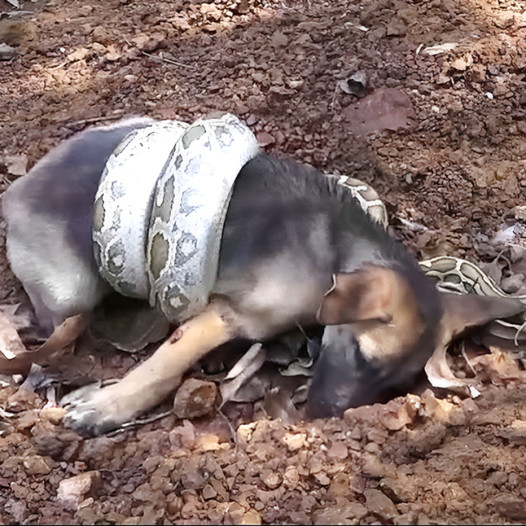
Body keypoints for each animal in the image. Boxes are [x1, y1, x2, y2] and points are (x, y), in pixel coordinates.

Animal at [3, 119, 524, 438]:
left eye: (393, 386)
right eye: (360, 355)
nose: (323, 417)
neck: (334, 254)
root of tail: (14, 192)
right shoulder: (226, 316)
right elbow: (164, 364)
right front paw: (111, 405)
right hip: (70, 292)